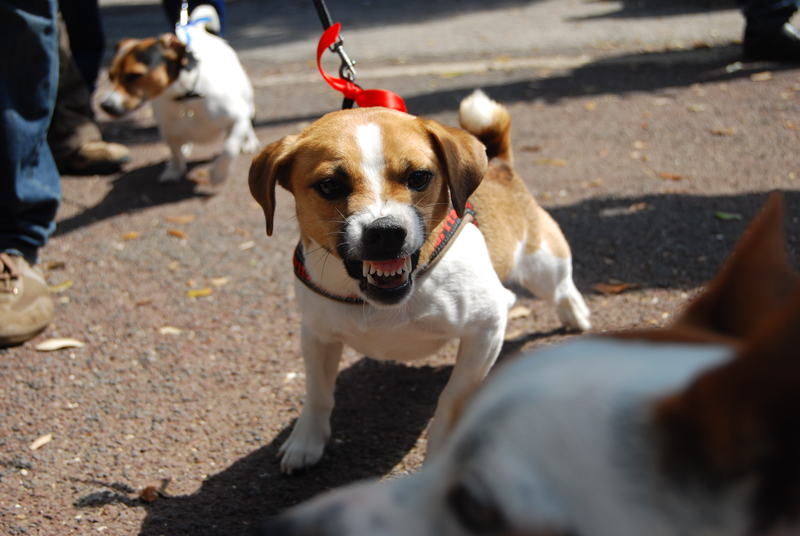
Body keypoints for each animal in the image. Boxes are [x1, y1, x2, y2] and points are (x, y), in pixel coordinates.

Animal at [250, 91, 592, 474]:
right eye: (330, 185)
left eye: (419, 177)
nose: (385, 232)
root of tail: (499, 166)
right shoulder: (317, 335)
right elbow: (318, 393)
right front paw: (306, 441)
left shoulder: (485, 329)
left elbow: (452, 399)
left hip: (542, 265)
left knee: (561, 288)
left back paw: (575, 314)